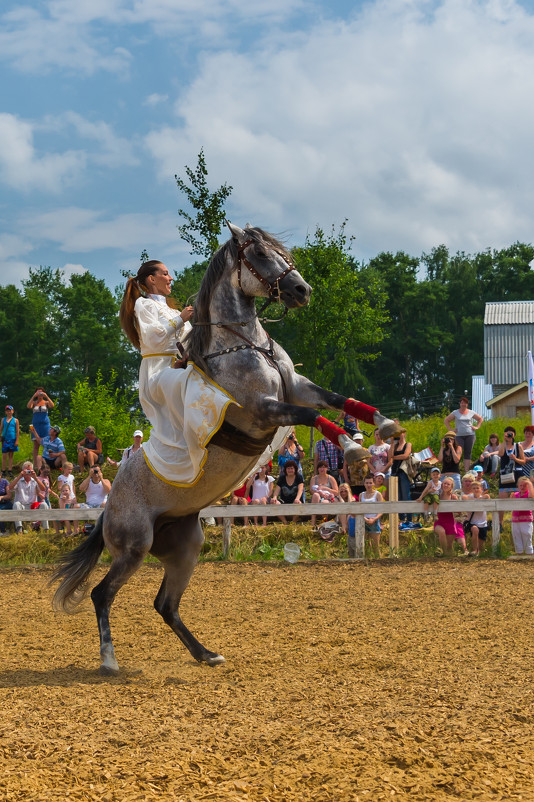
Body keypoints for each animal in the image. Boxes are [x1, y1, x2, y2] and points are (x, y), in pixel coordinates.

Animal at [52, 222, 404, 672]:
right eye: (260, 254)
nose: (302, 290)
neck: (246, 345)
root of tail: (105, 509)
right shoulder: (264, 409)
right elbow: (314, 417)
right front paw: (353, 450)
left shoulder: (298, 387)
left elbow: (342, 400)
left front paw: (387, 426)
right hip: (132, 549)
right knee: (102, 594)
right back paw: (110, 661)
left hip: (185, 547)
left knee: (165, 604)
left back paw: (206, 654)